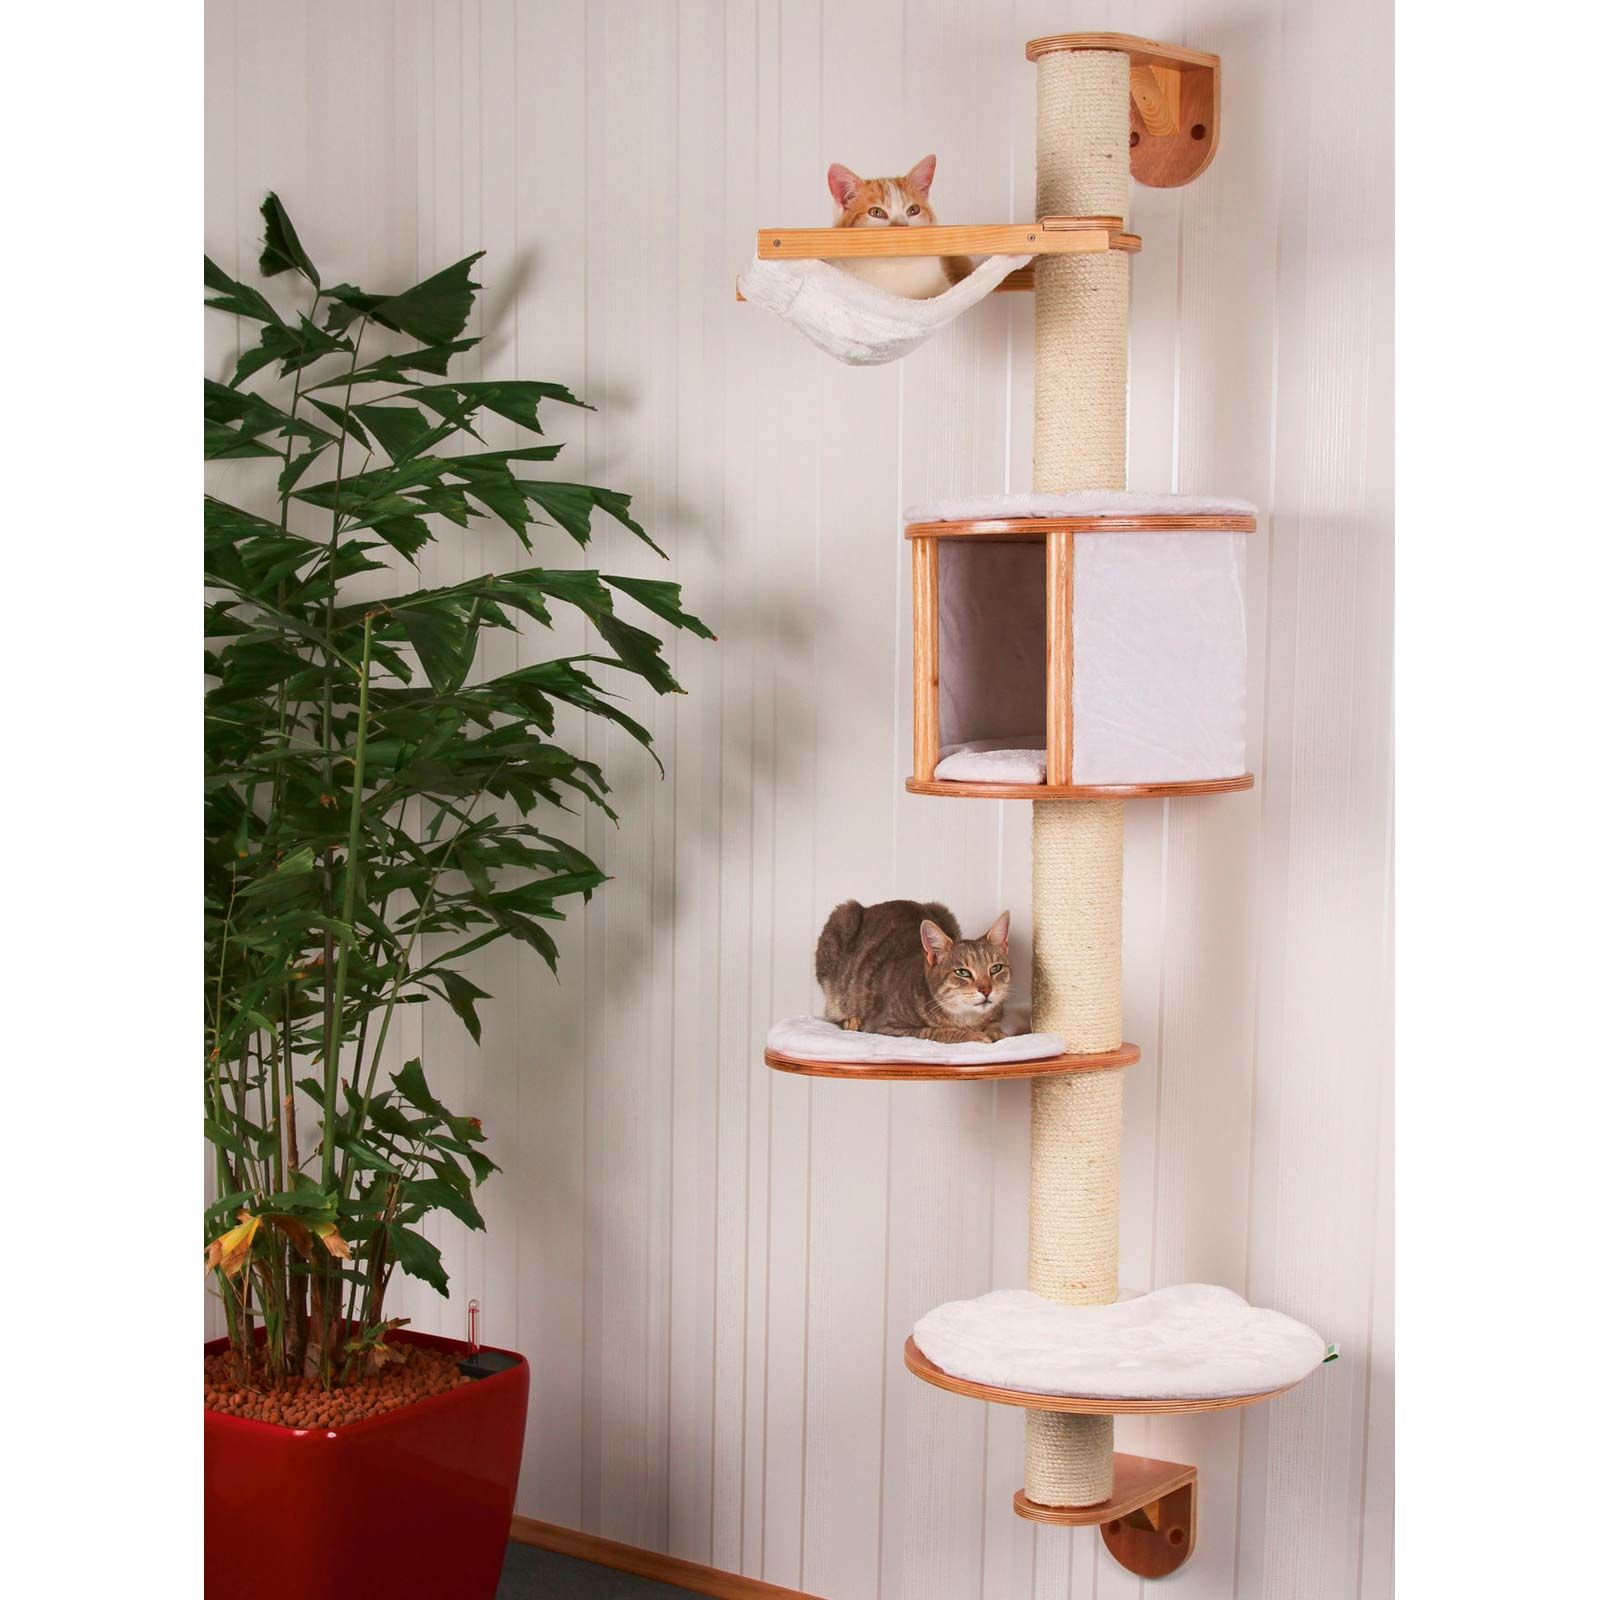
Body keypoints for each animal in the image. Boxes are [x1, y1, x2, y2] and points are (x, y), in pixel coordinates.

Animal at [815, 899, 1012, 1044]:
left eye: (996, 968)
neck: (967, 1019)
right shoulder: (886, 1026)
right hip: (843, 916)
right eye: (962, 972)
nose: (986, 990)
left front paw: (995, 1033)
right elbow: (933, 1031)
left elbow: (994, 1026)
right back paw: (850, 1020)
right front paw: (974, 1036)